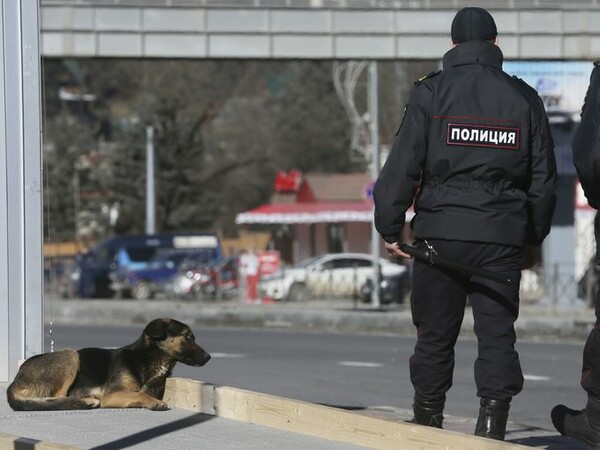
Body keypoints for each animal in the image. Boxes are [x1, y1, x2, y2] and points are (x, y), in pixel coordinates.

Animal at [5, 316, 209, 412]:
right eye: (187, 336)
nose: (208, 357)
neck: (146, 359)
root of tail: (16, 379)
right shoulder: (112, 395)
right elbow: (141, 394)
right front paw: (155, 403)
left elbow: (139, 395)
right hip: (71, 355)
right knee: (57, 398)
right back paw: (85, 401)